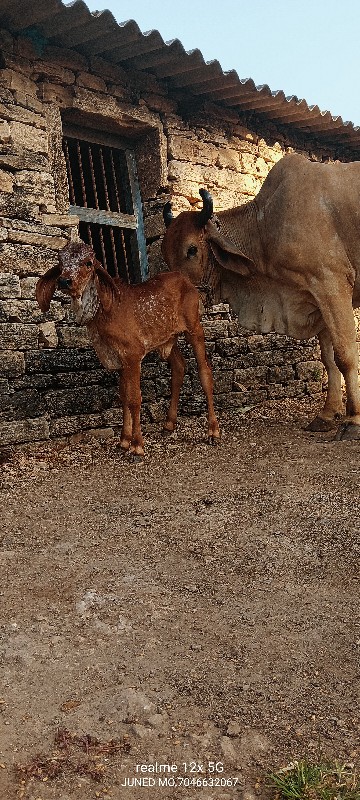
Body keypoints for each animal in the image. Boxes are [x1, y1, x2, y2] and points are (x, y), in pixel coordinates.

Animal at [35, 241, 219, 460]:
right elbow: (123, 395)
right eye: (61, 261)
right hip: (167, 339)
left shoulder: (133, 355)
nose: (64, 281)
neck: (101, 312)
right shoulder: (118, 359)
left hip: (194, 328)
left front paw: (137, 445)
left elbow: (134, 399)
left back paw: (213, 431)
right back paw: (169, 424)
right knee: (179, 368)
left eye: (88, 263)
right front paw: (123, 441)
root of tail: (185, 280)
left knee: (205, 371)